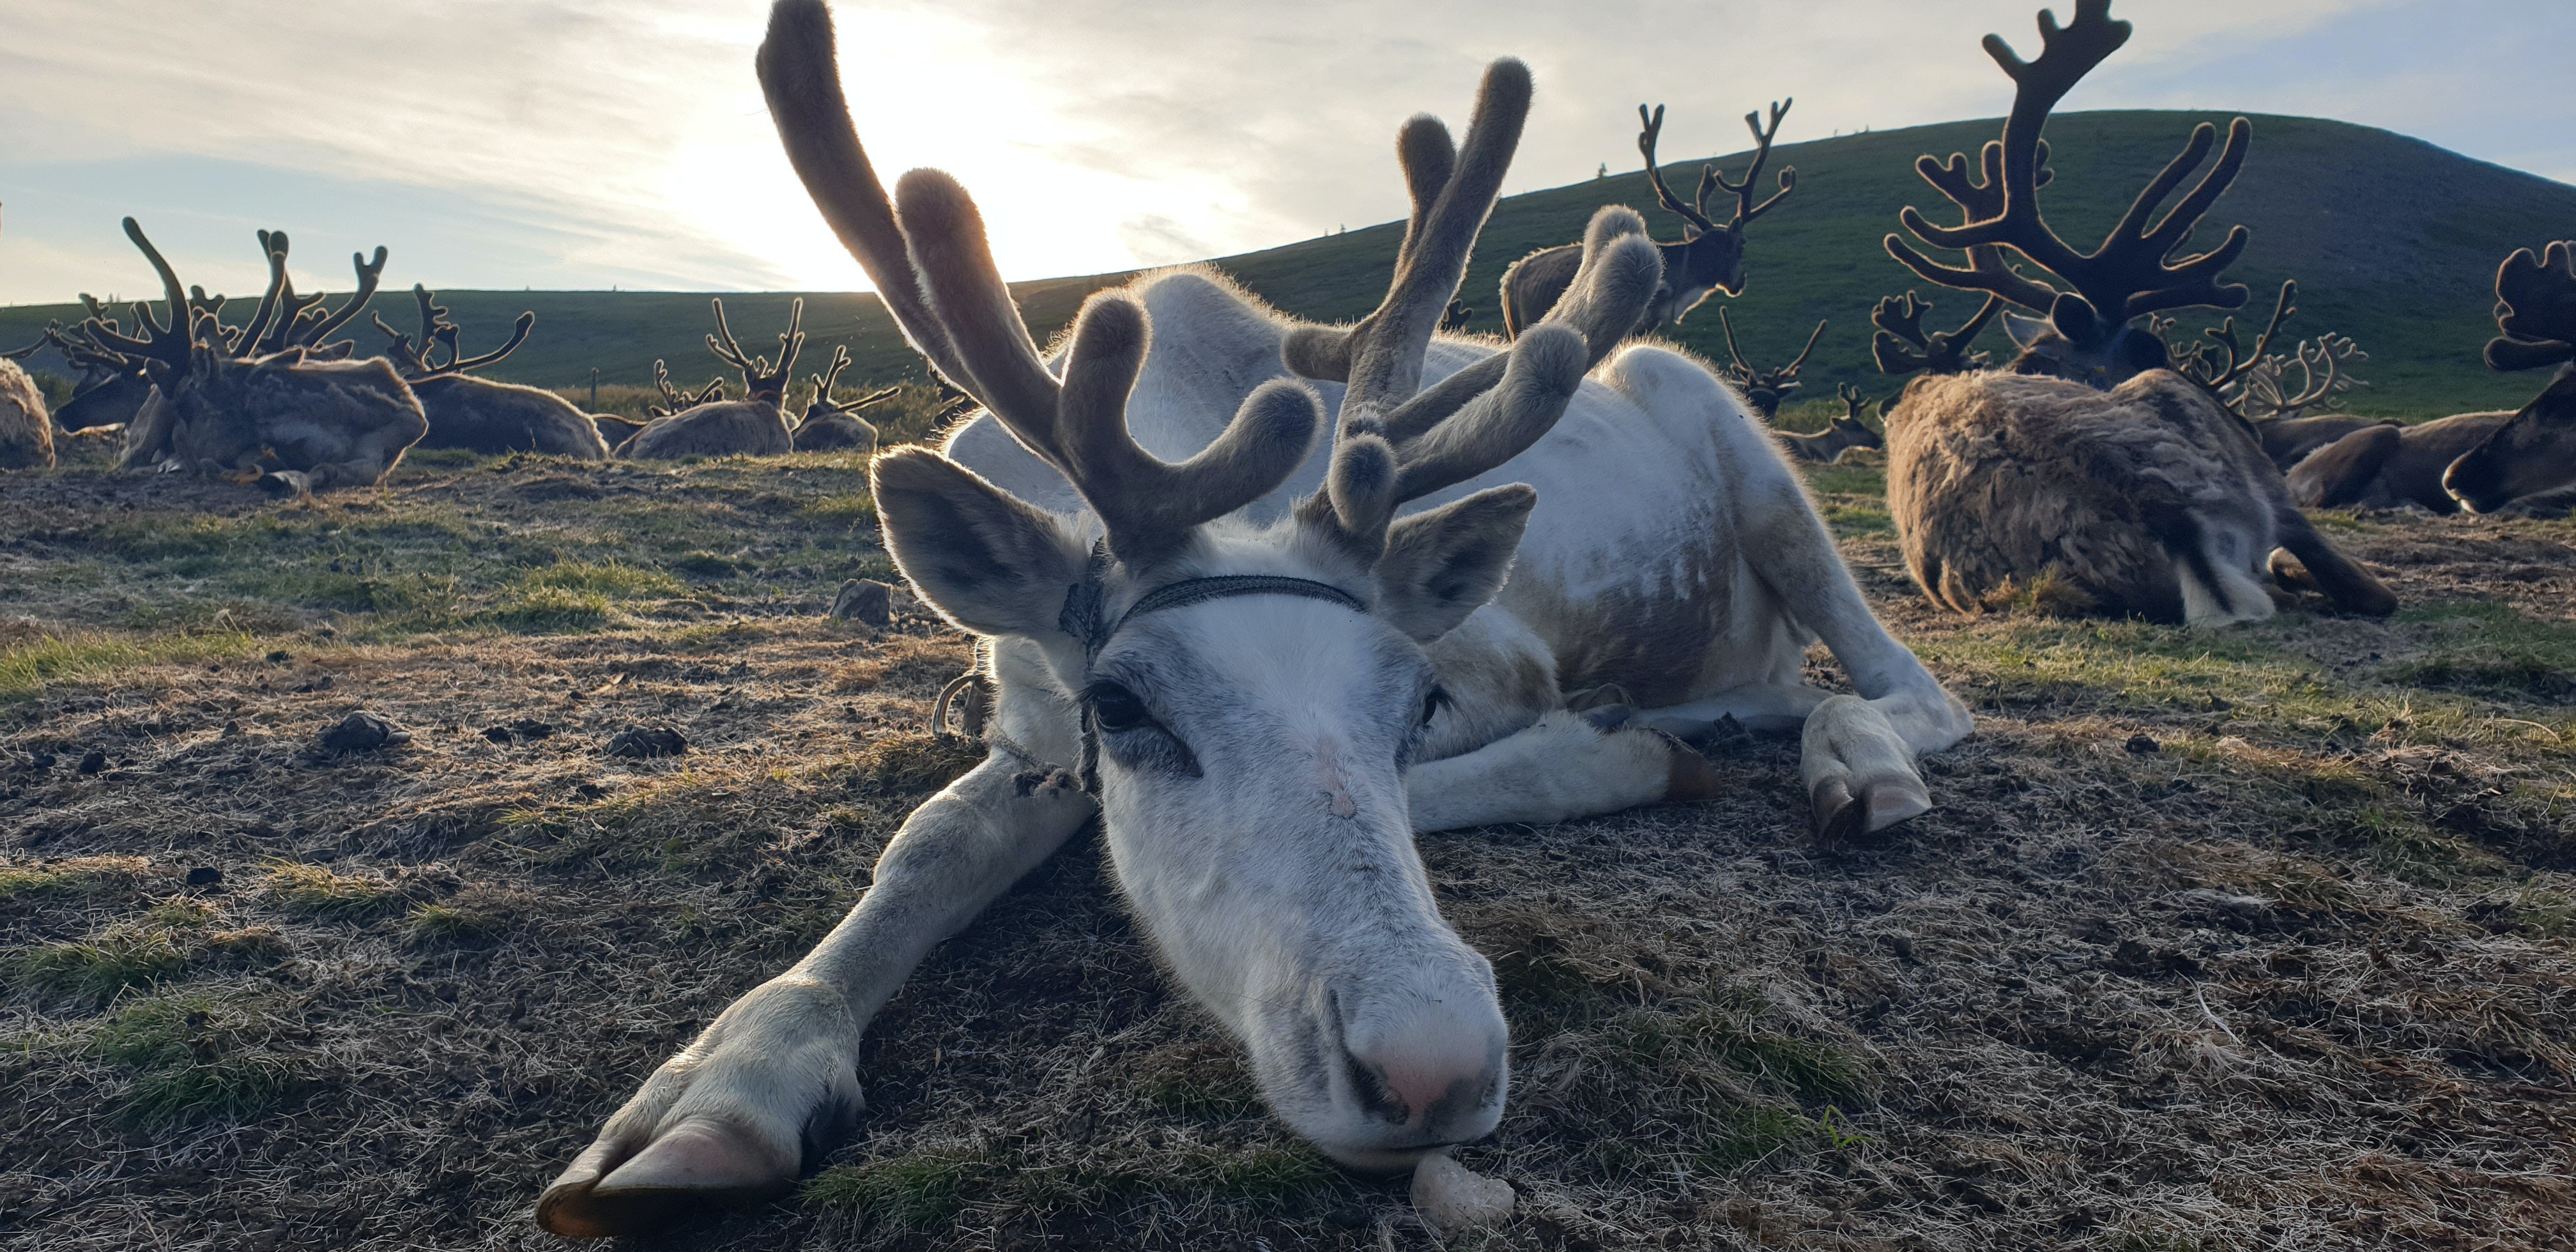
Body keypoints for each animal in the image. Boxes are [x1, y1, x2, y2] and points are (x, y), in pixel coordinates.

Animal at [75, 219, 422, 493]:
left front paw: (285, 476)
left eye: (187, 409)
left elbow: (327, 469)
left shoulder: (380, 456)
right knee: (129, 461)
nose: (178, 452)